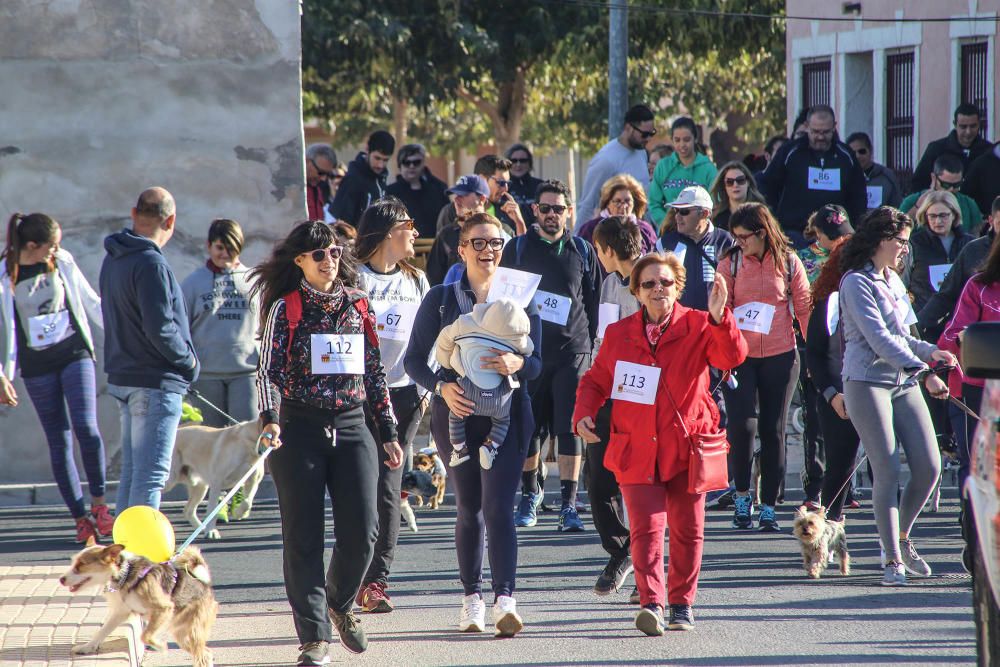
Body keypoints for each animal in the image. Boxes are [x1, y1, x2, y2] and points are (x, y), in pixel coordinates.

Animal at [60, 544, 217, 667]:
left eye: (81, 564)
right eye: (74, 562)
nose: (61, 579)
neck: (124, 574)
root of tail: (204, 584)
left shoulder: (163, 609)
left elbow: (145, 636)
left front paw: (160, 646)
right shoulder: (120, 612)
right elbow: (102, 631)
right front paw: (87, 647)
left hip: (192, 631)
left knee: (202, 654)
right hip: (181, 634)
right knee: (206, 653)